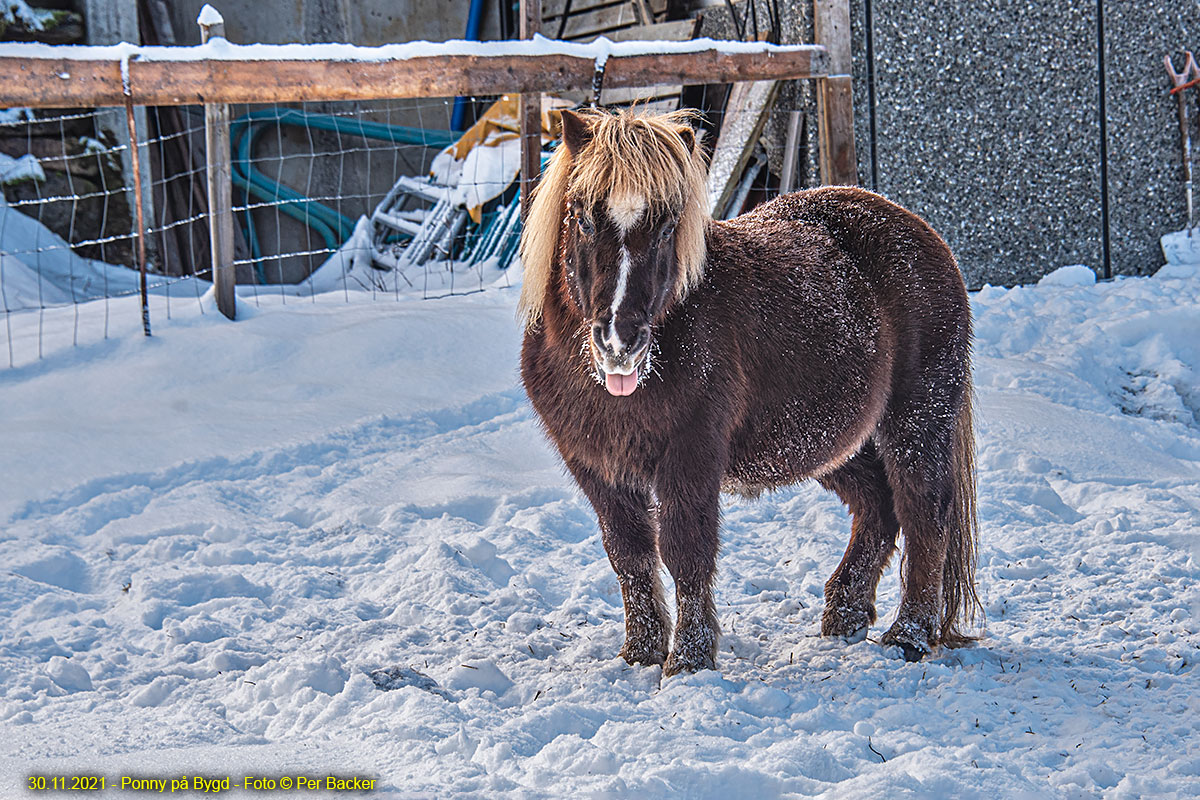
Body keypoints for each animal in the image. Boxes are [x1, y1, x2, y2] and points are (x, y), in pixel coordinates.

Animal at [520, 107, 979, 676]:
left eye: (668, 225)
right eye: (582, 217)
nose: (619, 342)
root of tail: (918, 229)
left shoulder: (690, 456)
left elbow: (685, 551)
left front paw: (689, 659)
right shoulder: (597, 467)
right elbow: (628, 555)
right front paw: (640, 653)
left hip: (917, 420)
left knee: (924, 512)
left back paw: (908, 636)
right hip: (833, 441)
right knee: (878, 506)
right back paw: (846, 613)